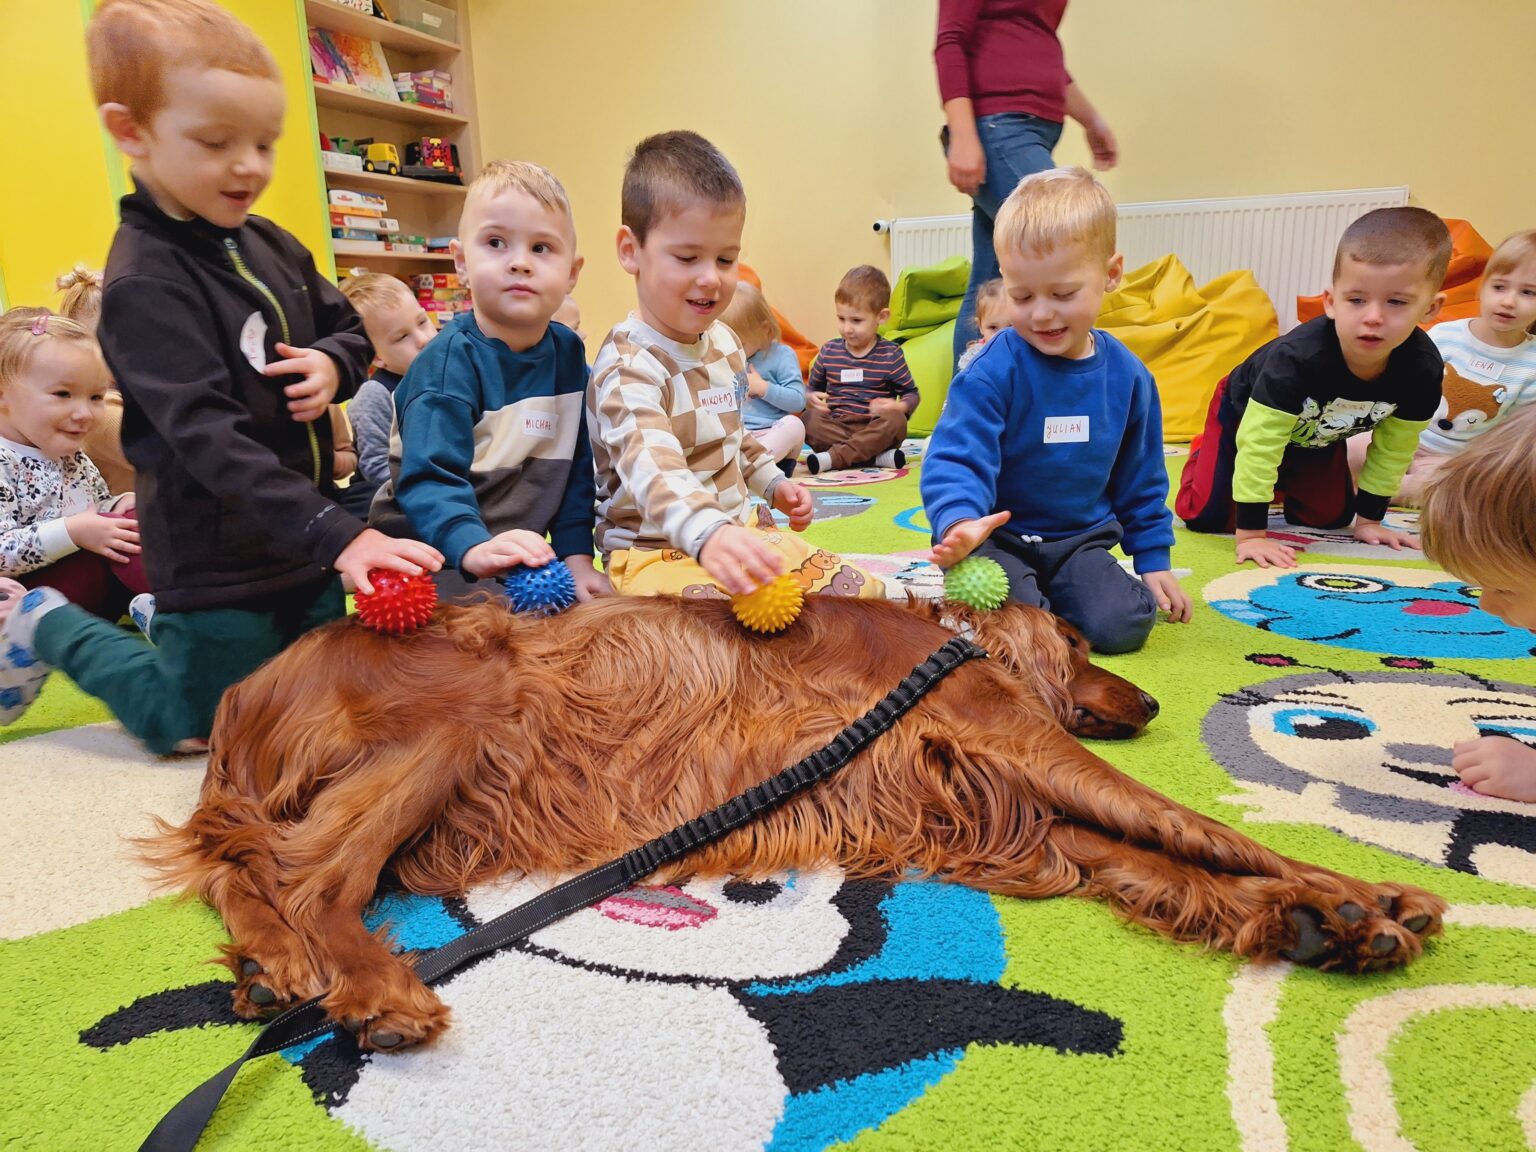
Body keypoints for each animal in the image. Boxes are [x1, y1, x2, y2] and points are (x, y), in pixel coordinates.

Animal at [144, 595, 1437, 1056]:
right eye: (1079, 648)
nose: (1157, 703)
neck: (948, 643)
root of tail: (244, 691)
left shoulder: (1028, 814)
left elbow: (1178, 861)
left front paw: (1318, 917)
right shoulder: (1027, 748)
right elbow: (1201, 825)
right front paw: (1366, 892)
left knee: (251, 864)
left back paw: (273, 972)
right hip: (463, 713)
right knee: (309, 874)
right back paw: (372, 989)